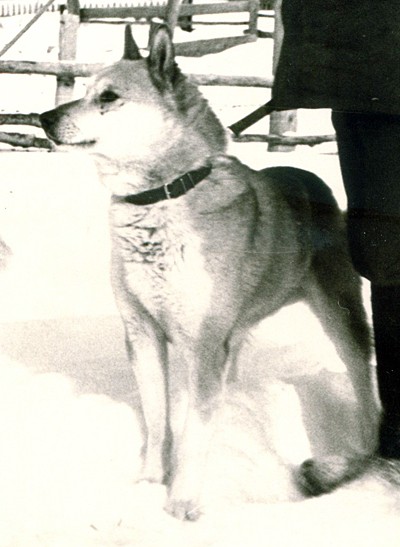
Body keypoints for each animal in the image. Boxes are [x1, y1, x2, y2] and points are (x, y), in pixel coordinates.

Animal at [40, 24, 378, 521]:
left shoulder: (202, 343)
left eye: (109, 96)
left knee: (363, 379)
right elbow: (158, 419)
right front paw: (148, 482)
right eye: (83, 90)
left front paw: (181, 502)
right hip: (233, 333)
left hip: (341, 316)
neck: (164, 194)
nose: (43, 117)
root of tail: (312, 181)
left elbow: (193, 431)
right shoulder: (142, 332)